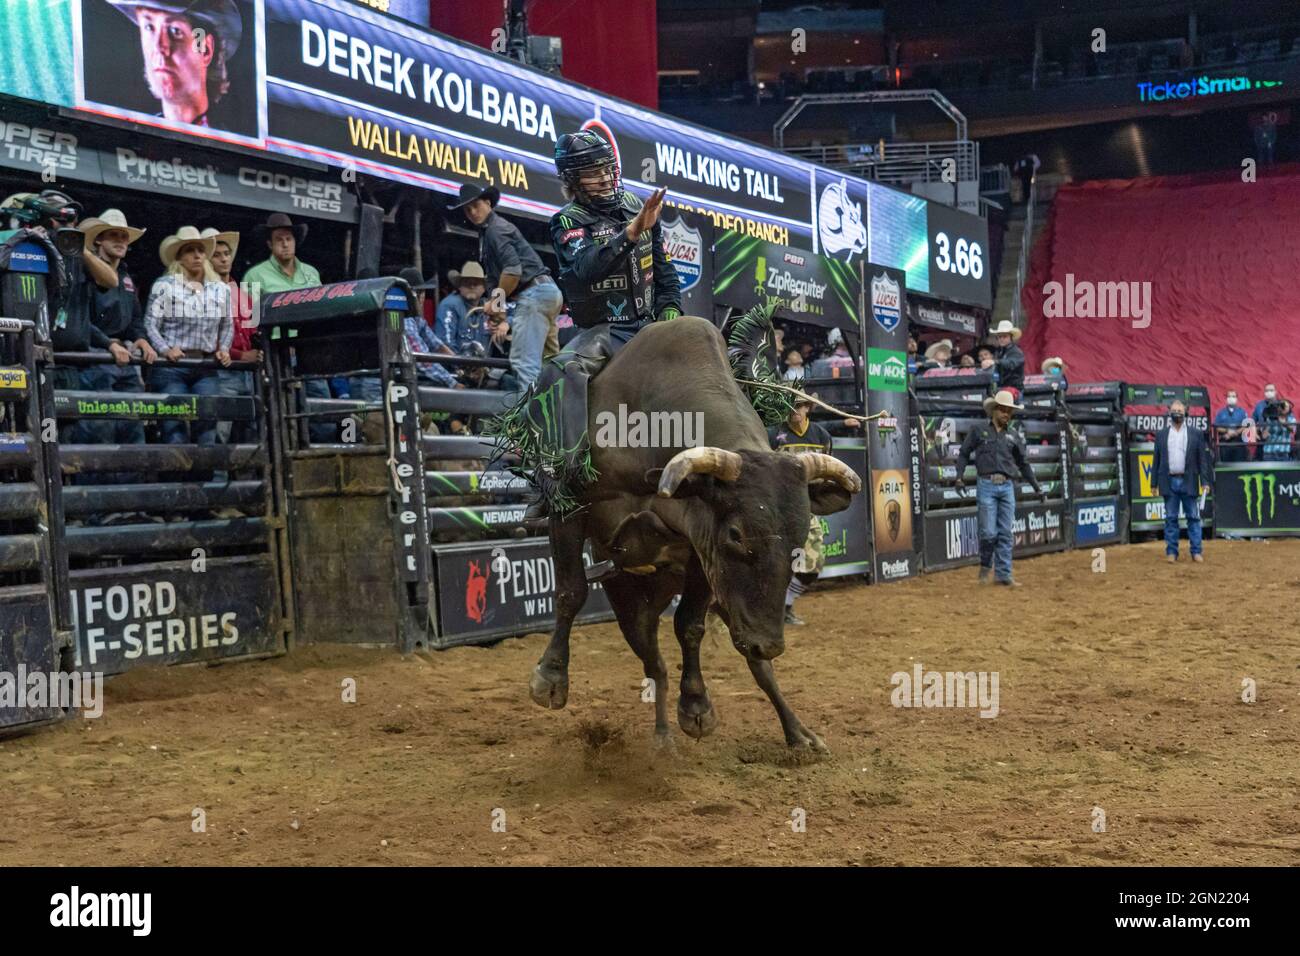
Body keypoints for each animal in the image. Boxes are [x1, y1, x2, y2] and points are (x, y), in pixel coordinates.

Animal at [522, 317, 857, 749]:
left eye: (800, 538)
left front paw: (697, 706)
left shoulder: (701, 550)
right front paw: (550, 678)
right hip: (632, 598)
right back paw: (663, 737)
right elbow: (570, 592)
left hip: (724, 602)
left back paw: (798, 733)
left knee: (752, 668)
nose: (770, 643)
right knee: (655, 663)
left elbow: (690, 625)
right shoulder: (570, 504)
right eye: (735, 534)